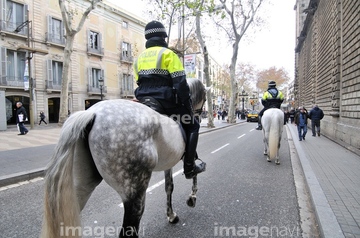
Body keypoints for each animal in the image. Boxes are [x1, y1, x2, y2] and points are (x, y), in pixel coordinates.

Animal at [39, 78, 207, 236]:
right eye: (205, 99)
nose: (199, 115)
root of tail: (91, 113)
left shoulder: (168, 163)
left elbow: (169, 187)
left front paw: (171, 215)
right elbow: (190, 173)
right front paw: (192, 197)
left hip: (79, 188)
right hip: (134, 193)